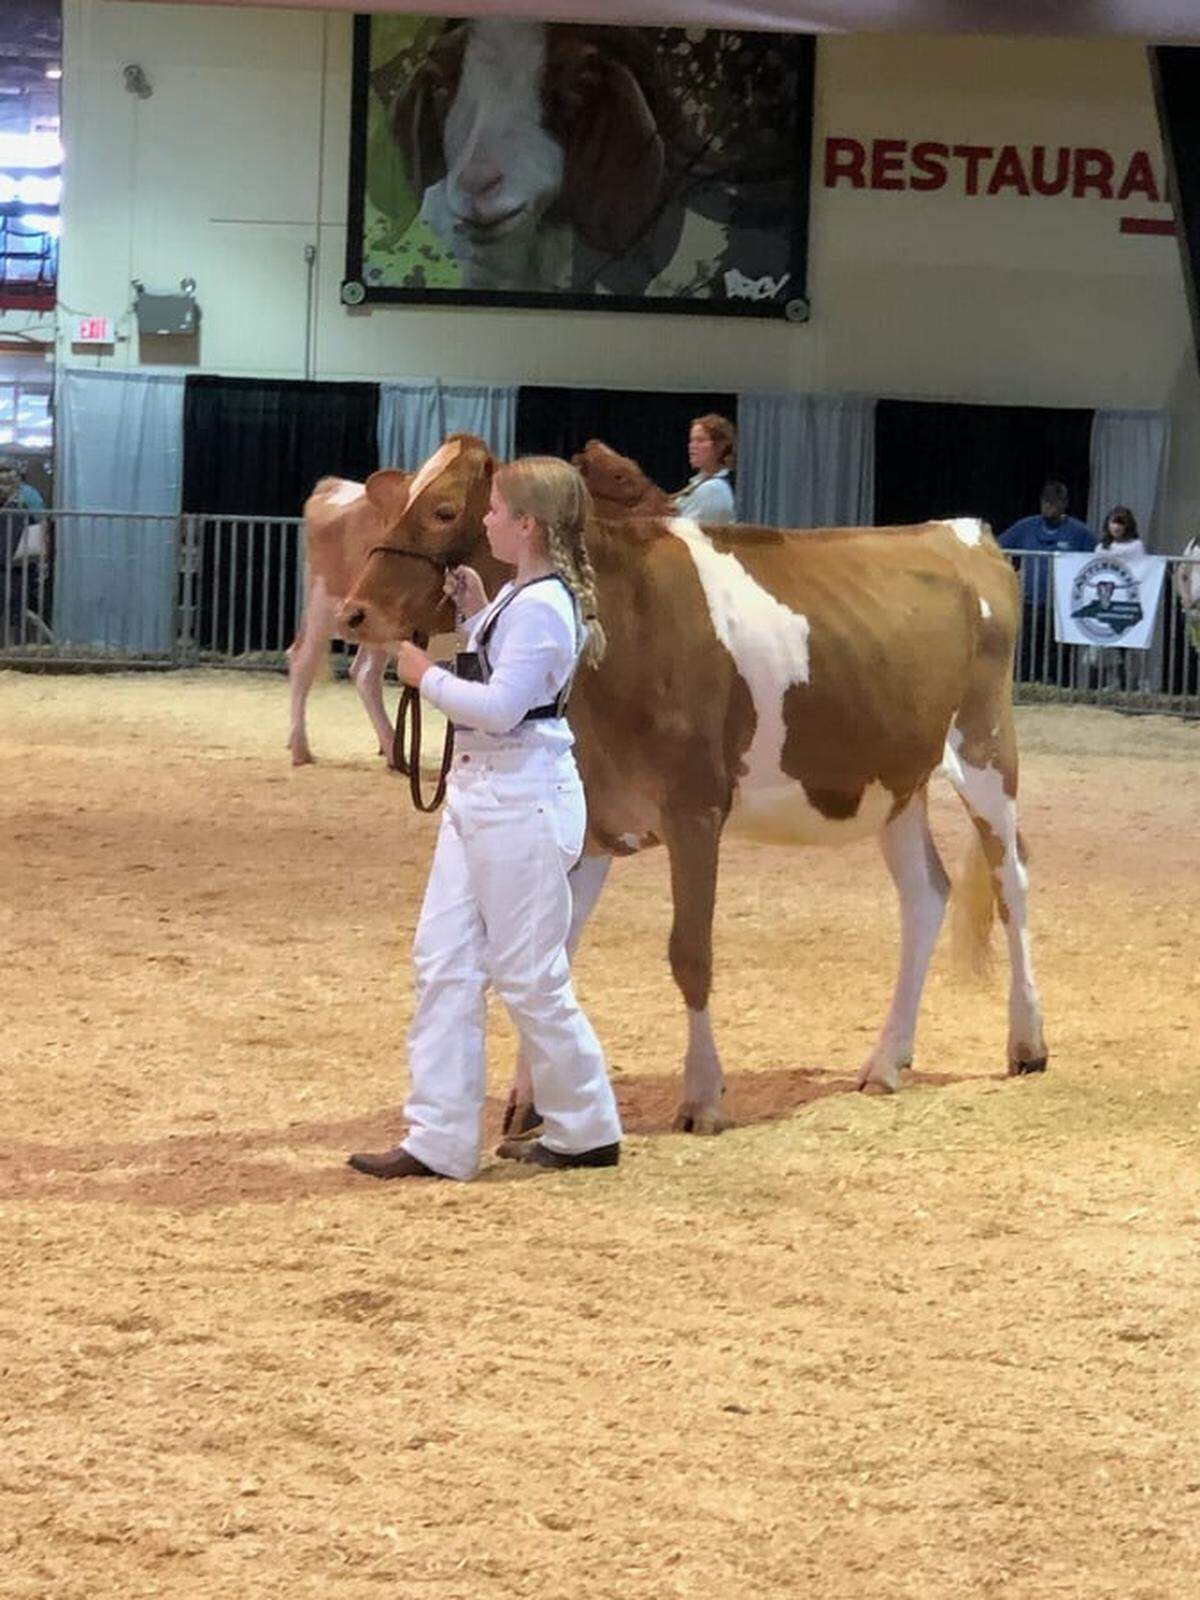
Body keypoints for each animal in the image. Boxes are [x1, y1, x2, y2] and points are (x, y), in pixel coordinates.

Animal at [337, 435, 1048, 1133]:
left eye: (444, 511)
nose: (354, 612)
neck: (620, 622)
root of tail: (959, 531)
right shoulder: (595, 819)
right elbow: (552, 951)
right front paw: (529, 1100)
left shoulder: (696, 808)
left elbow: (691, 953)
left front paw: (702, 1095)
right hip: (896, 782)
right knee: (926, 896)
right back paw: (886, 1061)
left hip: (985, 749)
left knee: (1011, 883)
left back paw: (1028, 1042)